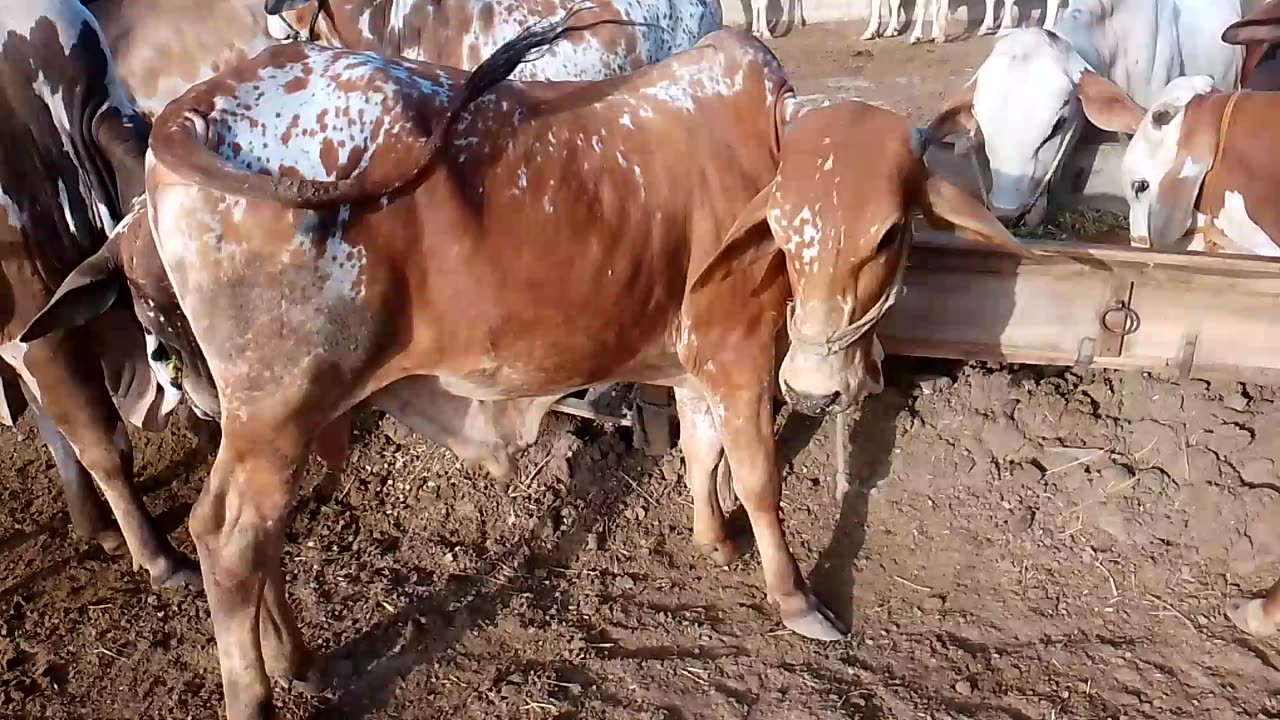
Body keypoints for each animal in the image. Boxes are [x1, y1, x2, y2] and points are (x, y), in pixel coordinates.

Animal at [22, 11, 1029, 712]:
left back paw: (301, 659)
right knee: (228, 538)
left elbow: (703, 453)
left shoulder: (700, 360)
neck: (769, 141)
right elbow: (759, 476)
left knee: (254, 541)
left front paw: (713, 538)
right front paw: (795, 599)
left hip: (276, 419)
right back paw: (258, 692)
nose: (817, 383)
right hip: (276, 410)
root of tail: (192, 109)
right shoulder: (741, 354)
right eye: (784, 226)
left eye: (890, 234)